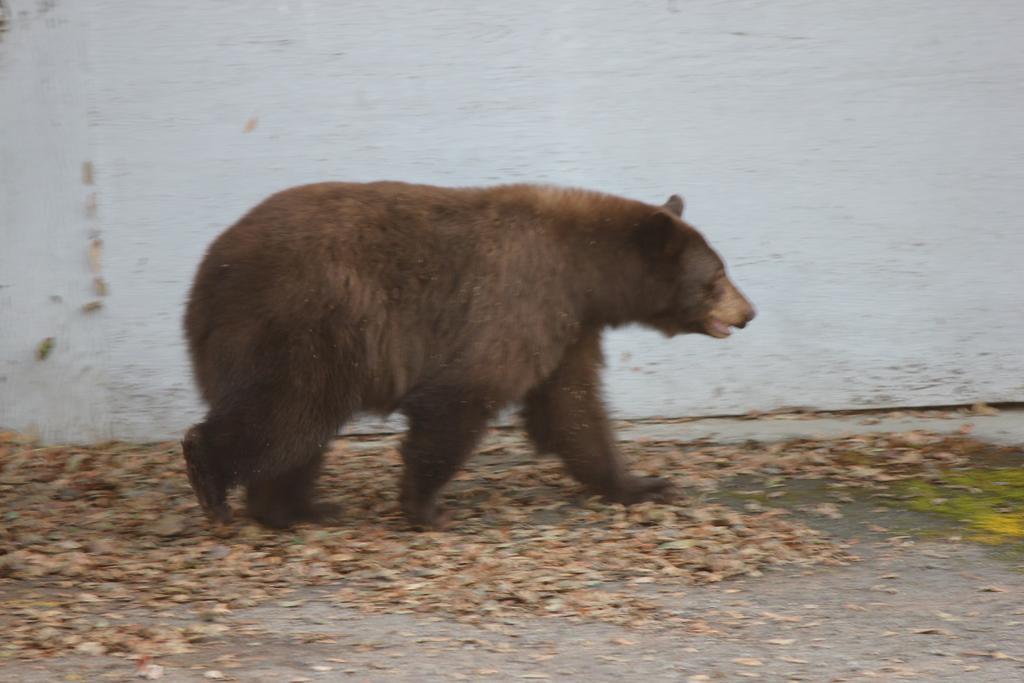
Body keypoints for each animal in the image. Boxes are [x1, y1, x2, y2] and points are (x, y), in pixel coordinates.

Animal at [180, 184, 757, 532]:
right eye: (715, 278)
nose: (748, 312)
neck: (585, 271)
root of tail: (205, 277)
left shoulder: (568, 326)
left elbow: (574, 411)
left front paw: (646, 485)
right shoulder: (518, 301)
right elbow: (463, 396)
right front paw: (425, 508)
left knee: (297, 432)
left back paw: (298, 508)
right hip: (302, 325)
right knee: (283, 416)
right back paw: (211, 477)